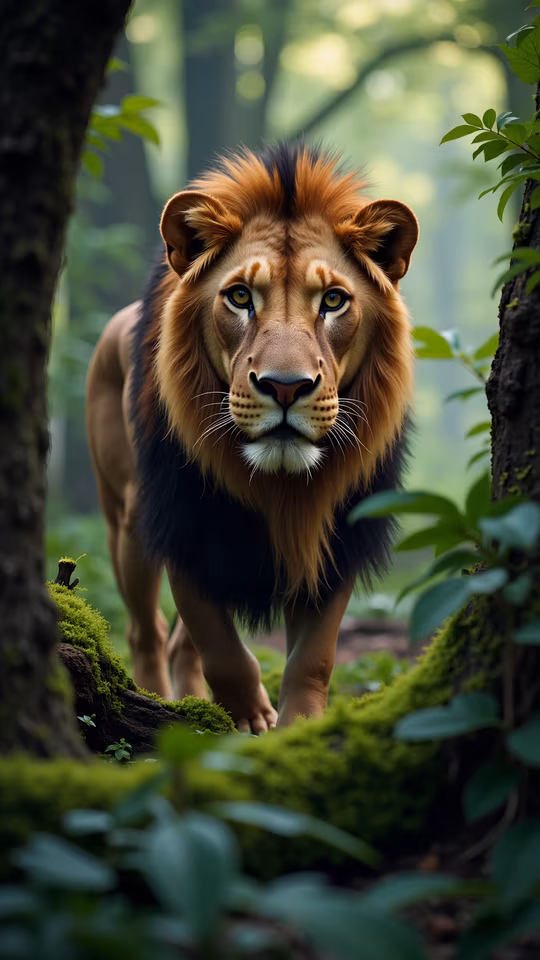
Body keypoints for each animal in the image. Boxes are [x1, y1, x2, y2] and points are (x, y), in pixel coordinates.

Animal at [86, 143, 417, 732]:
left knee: (178, 643)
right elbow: (221, 646)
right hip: (126, 519)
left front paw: (298, 730)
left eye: (334, 301)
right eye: (240, 297)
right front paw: (246, 719)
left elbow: (313, 656)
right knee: (146, 631)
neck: (279, 484)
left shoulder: (335, 533)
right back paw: (161, 701)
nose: (285, 387)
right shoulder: (183, 519)